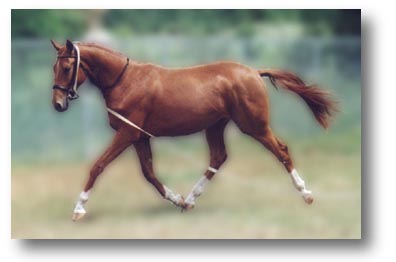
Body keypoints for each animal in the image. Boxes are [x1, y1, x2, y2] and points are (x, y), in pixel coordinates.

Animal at [49, 39, 336, 221]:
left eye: (67, 67)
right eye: (54, 67)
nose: (57, 104)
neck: (124, 81)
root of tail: (254, 72)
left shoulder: (127, 134)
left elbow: (98, 166)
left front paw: (79, 208)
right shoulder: (139, 137)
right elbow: (149, 173)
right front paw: (176, 199)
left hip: (254, 125)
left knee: (282, 150)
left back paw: (306, 193)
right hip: (215, 126)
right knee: (218, 157)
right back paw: (190, 198)